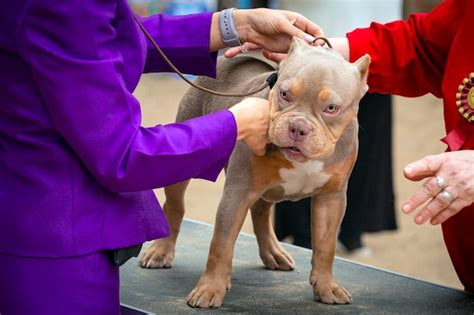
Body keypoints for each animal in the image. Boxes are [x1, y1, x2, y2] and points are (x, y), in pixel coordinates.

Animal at [141, 37, 370, 308]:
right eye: (284, 94)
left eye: (331, 108)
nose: (298, 127)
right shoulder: (237, 194)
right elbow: (221, 244)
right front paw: (210, 288)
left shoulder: (331, 199)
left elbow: (326, 246)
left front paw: (327, 286)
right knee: (175, 205)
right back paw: (161, 250)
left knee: (261, 211)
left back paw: (273, 252)